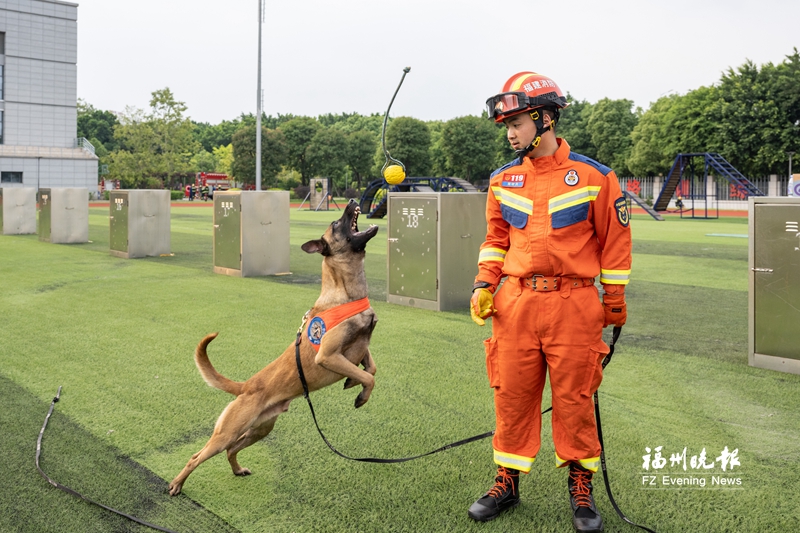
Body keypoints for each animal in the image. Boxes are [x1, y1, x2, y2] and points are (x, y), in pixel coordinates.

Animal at [168, 200, 378, 494]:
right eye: (336, 223)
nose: (351, 202)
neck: (346, 294)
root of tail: (246, 386)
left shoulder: (360, 344)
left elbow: (370, 366)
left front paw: (352, 381)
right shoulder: (328, 355)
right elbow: (369, 376)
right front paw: (361, 394)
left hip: (260, 429)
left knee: (231, 450)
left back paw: (237, 470)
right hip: (228, 432)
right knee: (198, 455)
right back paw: (177, 484)